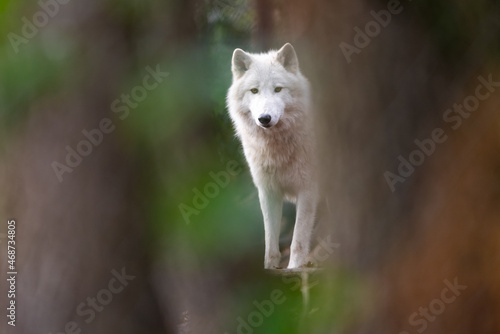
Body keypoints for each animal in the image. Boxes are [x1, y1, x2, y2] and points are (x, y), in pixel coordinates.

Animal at [228, 43, 320, 270]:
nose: (264, 118)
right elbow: (270, 242)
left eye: (278, 89)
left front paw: (294, 268)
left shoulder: (308, 189)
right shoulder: (268, 191)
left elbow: (298, 240)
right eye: (254, 90)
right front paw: (269, 269)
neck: (278, 147)